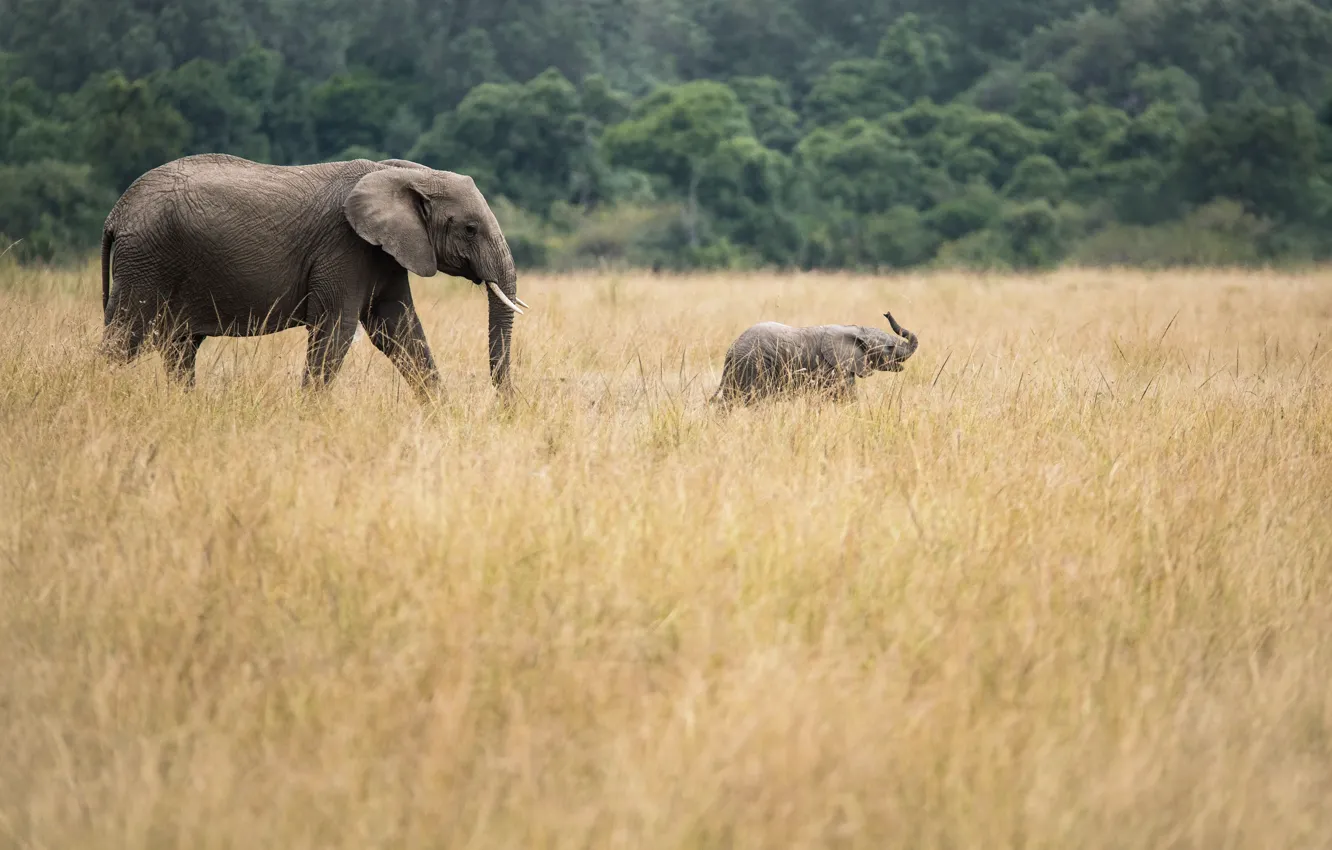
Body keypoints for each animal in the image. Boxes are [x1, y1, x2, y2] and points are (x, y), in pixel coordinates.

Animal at [99, 154, 524, 397]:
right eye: (470, 229)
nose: (503, 407)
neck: (402, 174)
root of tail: (116, 213)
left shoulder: (383, 252)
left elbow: (398, 330)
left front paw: (441, 415)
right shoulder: (344, 246)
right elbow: (336, 328)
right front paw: (308, 416)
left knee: (179, 347)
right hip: (148, 260)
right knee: (124, 339)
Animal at [713, 313, 921, 405]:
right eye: (890, 347)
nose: (887, 313)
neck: (855, 330)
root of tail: (731, 349)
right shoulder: (833, 368)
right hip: (754, 365)